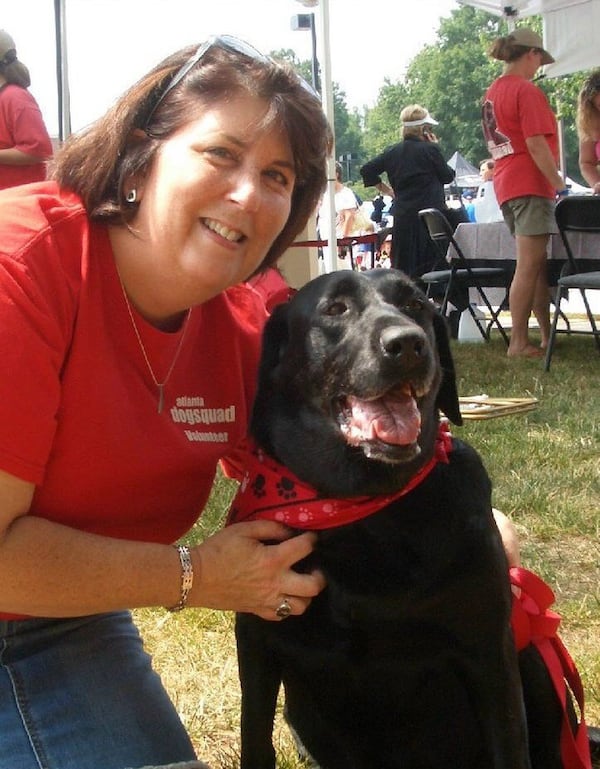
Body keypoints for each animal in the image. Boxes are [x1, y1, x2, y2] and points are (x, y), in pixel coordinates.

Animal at [231, 268, 568, 768]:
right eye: (335, 309)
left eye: (416, 306)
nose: (408, 344)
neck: (363, 510)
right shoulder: (257, 639)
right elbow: (255, 738)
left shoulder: (490, 650)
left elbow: (510, 746)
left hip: (534, 660)